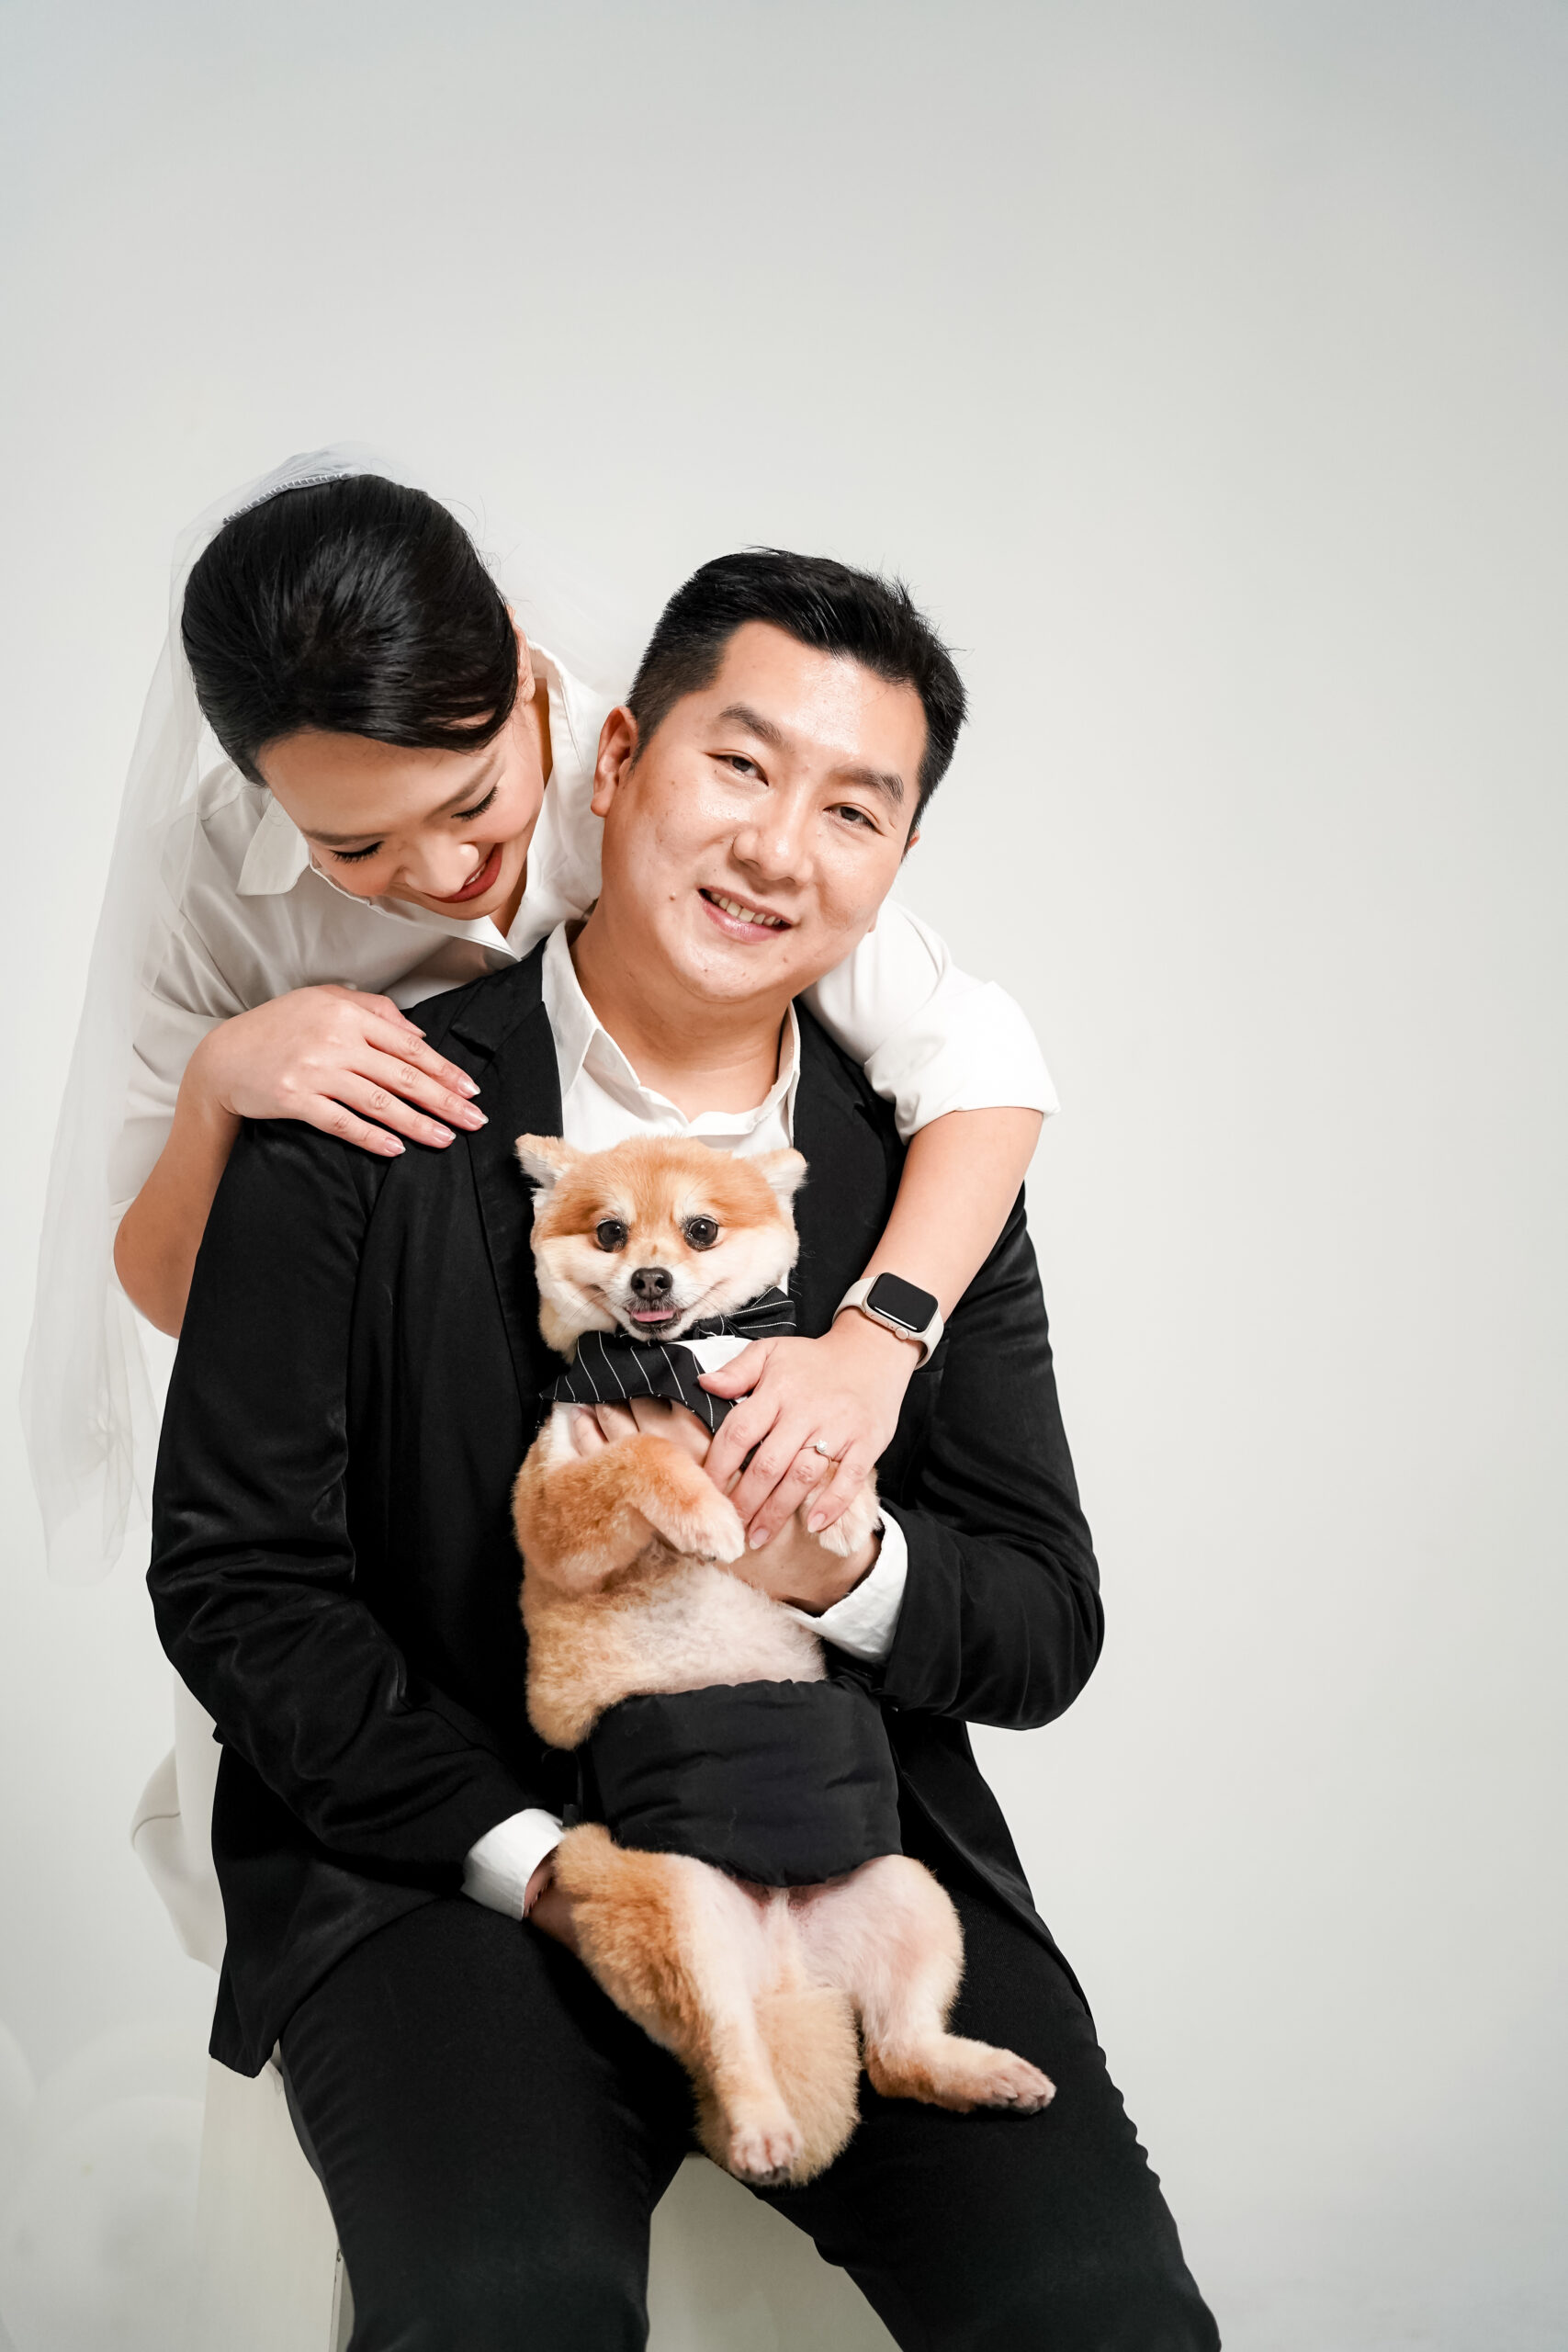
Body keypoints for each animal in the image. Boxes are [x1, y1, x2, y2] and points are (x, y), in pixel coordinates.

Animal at [512, 1131, 1054, 2186]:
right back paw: (763, 2125)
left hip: (909, 1894)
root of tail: (786, 1963)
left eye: (698, 1229)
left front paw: (842, 1514)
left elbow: (838, 1464)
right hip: (675, 1905)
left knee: (895, 2054)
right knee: (726, 2043)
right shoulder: (554, 1518)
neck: (669, 1364)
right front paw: (708, 1516)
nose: (649, 1276)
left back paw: (981, 2075)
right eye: (608, 1232)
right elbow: (646, 1463)